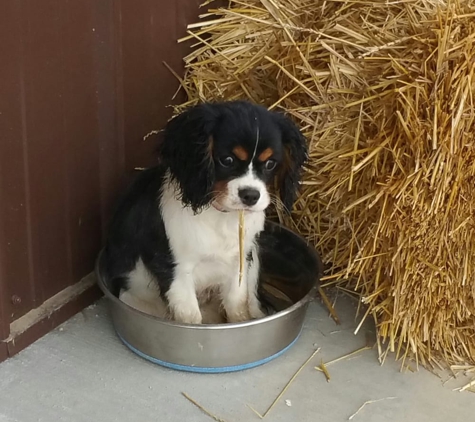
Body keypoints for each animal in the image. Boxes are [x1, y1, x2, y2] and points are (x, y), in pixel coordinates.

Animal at [102, 99, 306, 324]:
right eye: (227, 160)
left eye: (270, 164)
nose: (251, 196)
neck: (221, 215)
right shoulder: (178, 271)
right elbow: (190, 317)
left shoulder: (239, 262)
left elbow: (238, 306)